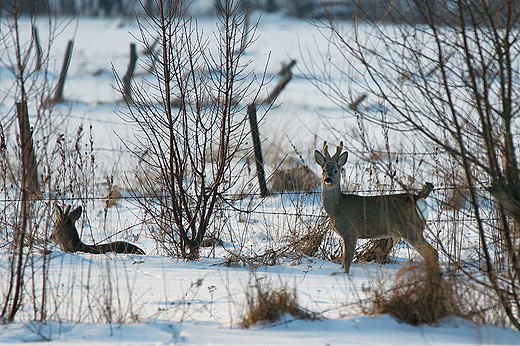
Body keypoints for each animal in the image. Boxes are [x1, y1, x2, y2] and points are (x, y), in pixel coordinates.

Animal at [314, 141, 436, 274]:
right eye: (324, 170)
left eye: (336, 171)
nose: (328, 179)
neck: (337, 208)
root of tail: (420, 199)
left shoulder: (351, 231)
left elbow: (347, 261)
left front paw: (345, 276)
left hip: (412, 229)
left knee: (431, 252)